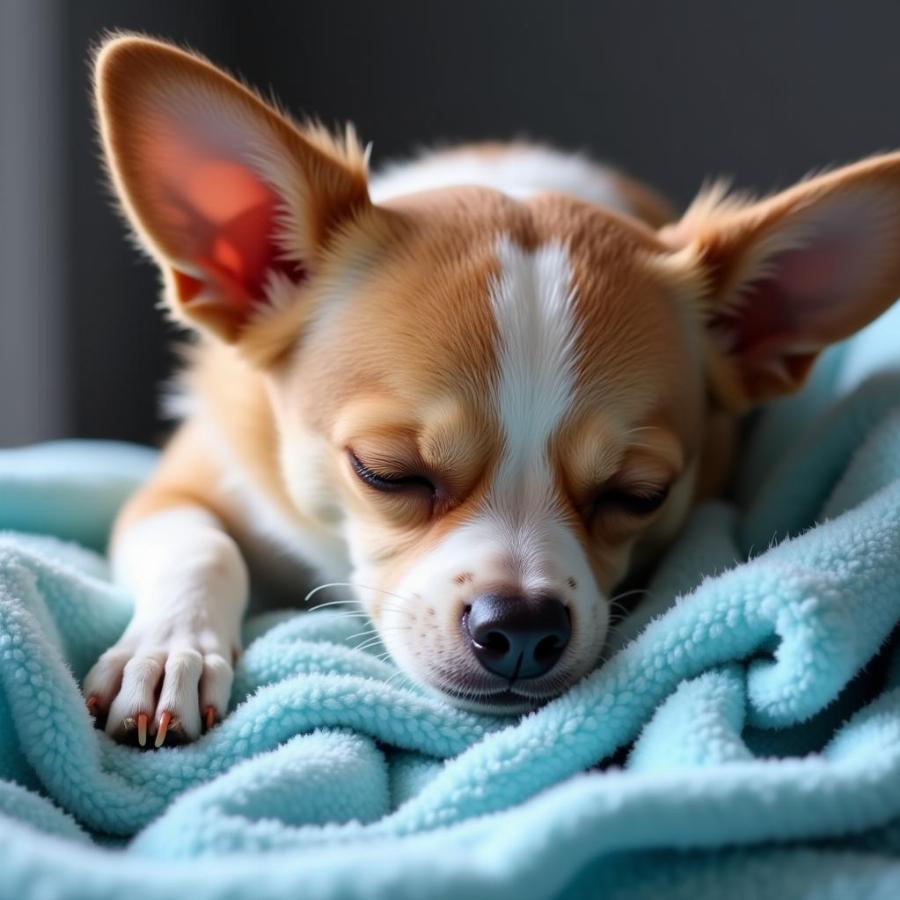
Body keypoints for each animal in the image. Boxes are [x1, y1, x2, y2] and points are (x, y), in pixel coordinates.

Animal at [86, 33, 900, 744]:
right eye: (386, 473)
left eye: (639, 495)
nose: (522, 626)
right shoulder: (178, 485)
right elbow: (201, 546)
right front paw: (168, 654)